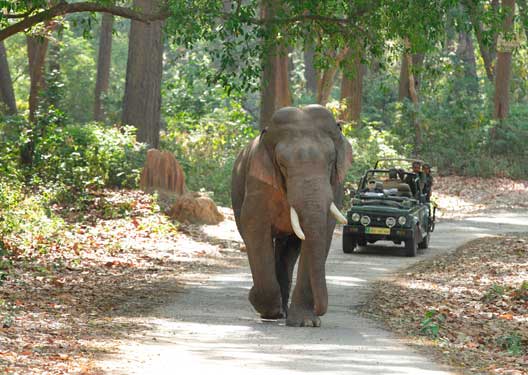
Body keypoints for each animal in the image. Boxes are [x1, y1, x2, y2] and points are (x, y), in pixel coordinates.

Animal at [232, 104, 352, 328]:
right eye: (282, 165)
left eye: (330, 162)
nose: (320, 312)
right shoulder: (258, 183)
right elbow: (254, 227)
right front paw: (264, 306)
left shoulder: (335, 186)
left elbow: (323, 231)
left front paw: (306, 322)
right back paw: (277, 311)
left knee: (288, 252)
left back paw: (285, 311)